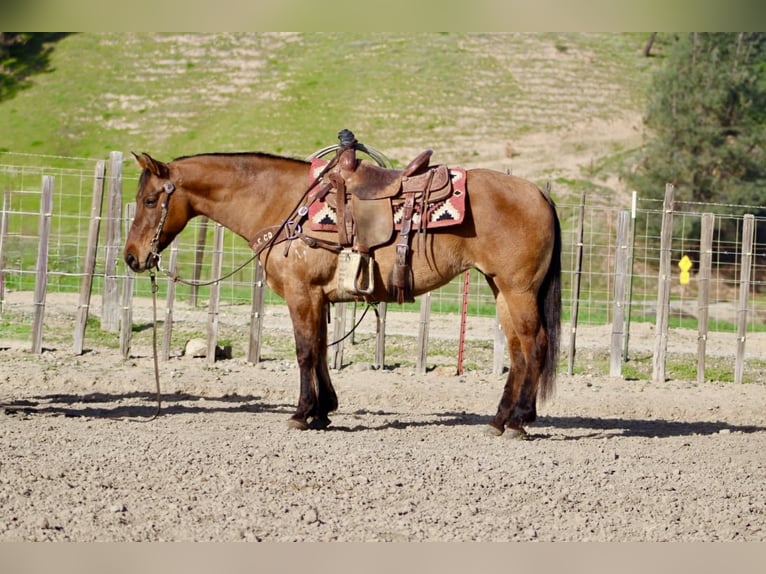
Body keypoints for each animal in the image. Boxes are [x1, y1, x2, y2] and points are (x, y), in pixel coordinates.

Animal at [124, 148, 562, 438]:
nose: (132, 257)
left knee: (534, 344)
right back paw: (499, 420)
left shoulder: (301, 293)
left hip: (518, 289)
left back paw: (520, 421)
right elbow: (319, 350)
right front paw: (323, 412)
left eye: (149, 199)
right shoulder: (317, 298)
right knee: (517, 350)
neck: (284, 204)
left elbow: (303, 352)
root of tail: (539, 194)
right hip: (500, 288)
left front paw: (301, 414)